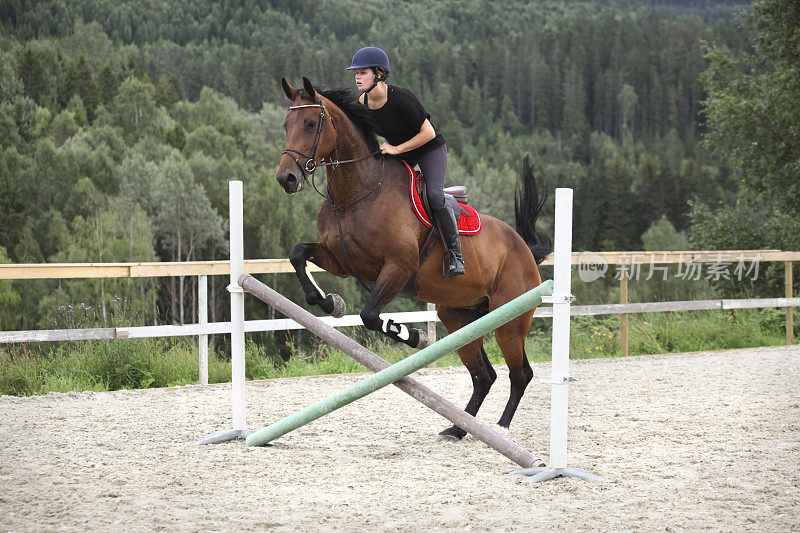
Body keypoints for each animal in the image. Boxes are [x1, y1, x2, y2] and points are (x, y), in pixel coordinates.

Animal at [276, 77, 552, 438]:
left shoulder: (398, 267)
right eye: (286, 125)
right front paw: (329, 302)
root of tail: (523, 249)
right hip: (459, 316)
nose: (286, 178)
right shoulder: (341, 261)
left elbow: (369, 316)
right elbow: (298, 254)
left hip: (510, 319)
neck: (357, 192)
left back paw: (501, 427)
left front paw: (413, 336)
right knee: (484, 375)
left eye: (310, 123)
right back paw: (457, 430)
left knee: (519, 374)